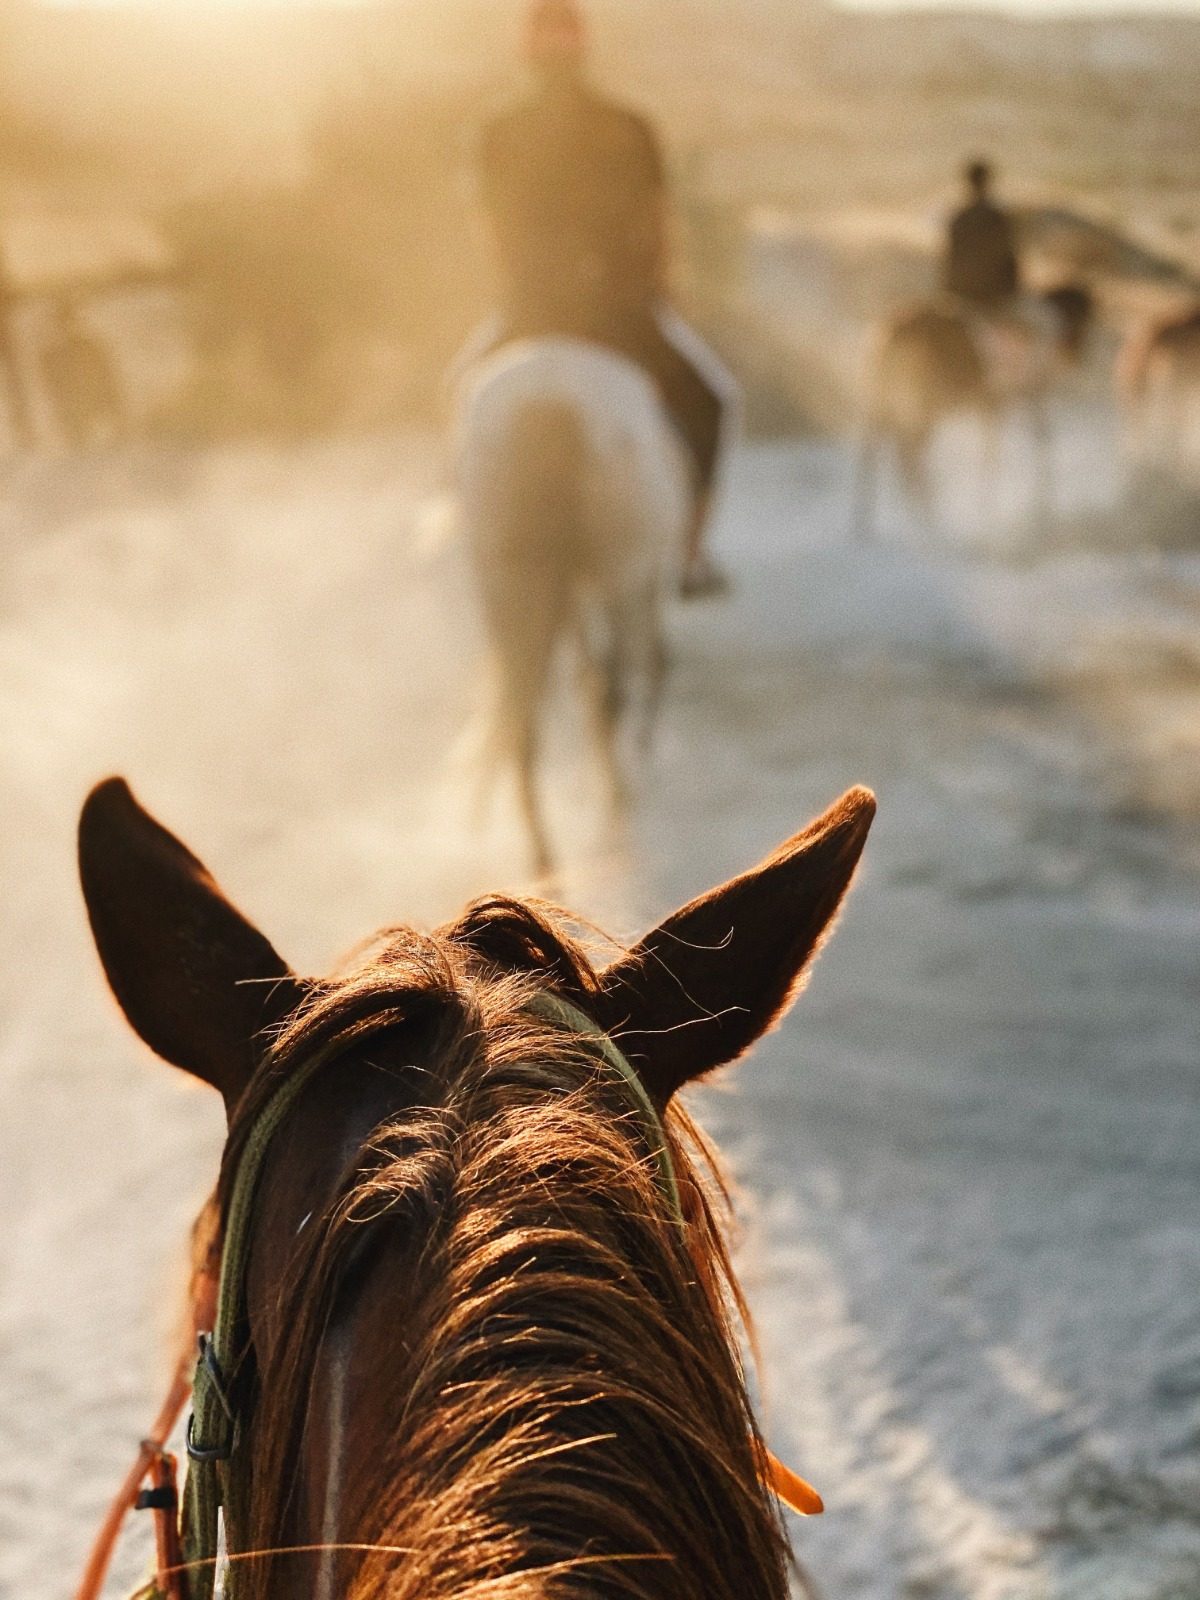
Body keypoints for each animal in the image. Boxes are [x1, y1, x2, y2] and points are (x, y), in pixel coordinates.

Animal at [455, 337, 691, 878]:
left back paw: (541, 848)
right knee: (609, 689)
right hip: (615, 577)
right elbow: (622, 674)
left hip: (507, 583)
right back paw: (615, 802)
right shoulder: (629, 584)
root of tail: (552, 399)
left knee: (522, 708)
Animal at [854, 286, 1094, 542]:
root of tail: (894, 327)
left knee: (872, 461)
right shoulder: (1004, 404)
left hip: (880, 407)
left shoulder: (1004, 405)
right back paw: (927, 523)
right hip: (919, 410)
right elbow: (1001, 458)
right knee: (909, 463)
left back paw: (866, 526)